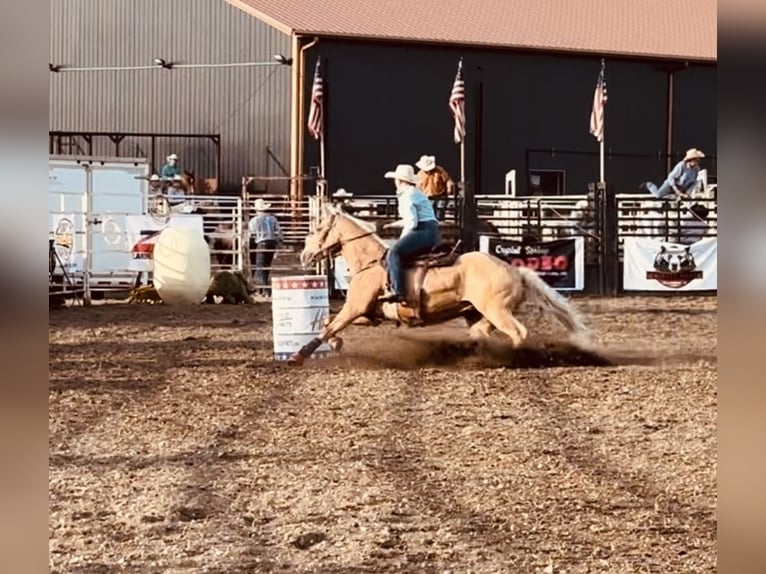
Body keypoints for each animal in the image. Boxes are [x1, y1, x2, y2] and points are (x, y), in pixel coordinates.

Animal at [290, 207, 592, 366]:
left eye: (317, 230)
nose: (304, 256)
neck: (369, 262)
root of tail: (515, 270)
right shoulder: (367, 314)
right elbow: (328, 325)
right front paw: (336, 343)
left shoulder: (354, 308)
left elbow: (328, 326)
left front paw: (297, 355)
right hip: (478, 316)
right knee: (483, 334)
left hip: (498, 311)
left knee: (519, 333)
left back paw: (513, 358)